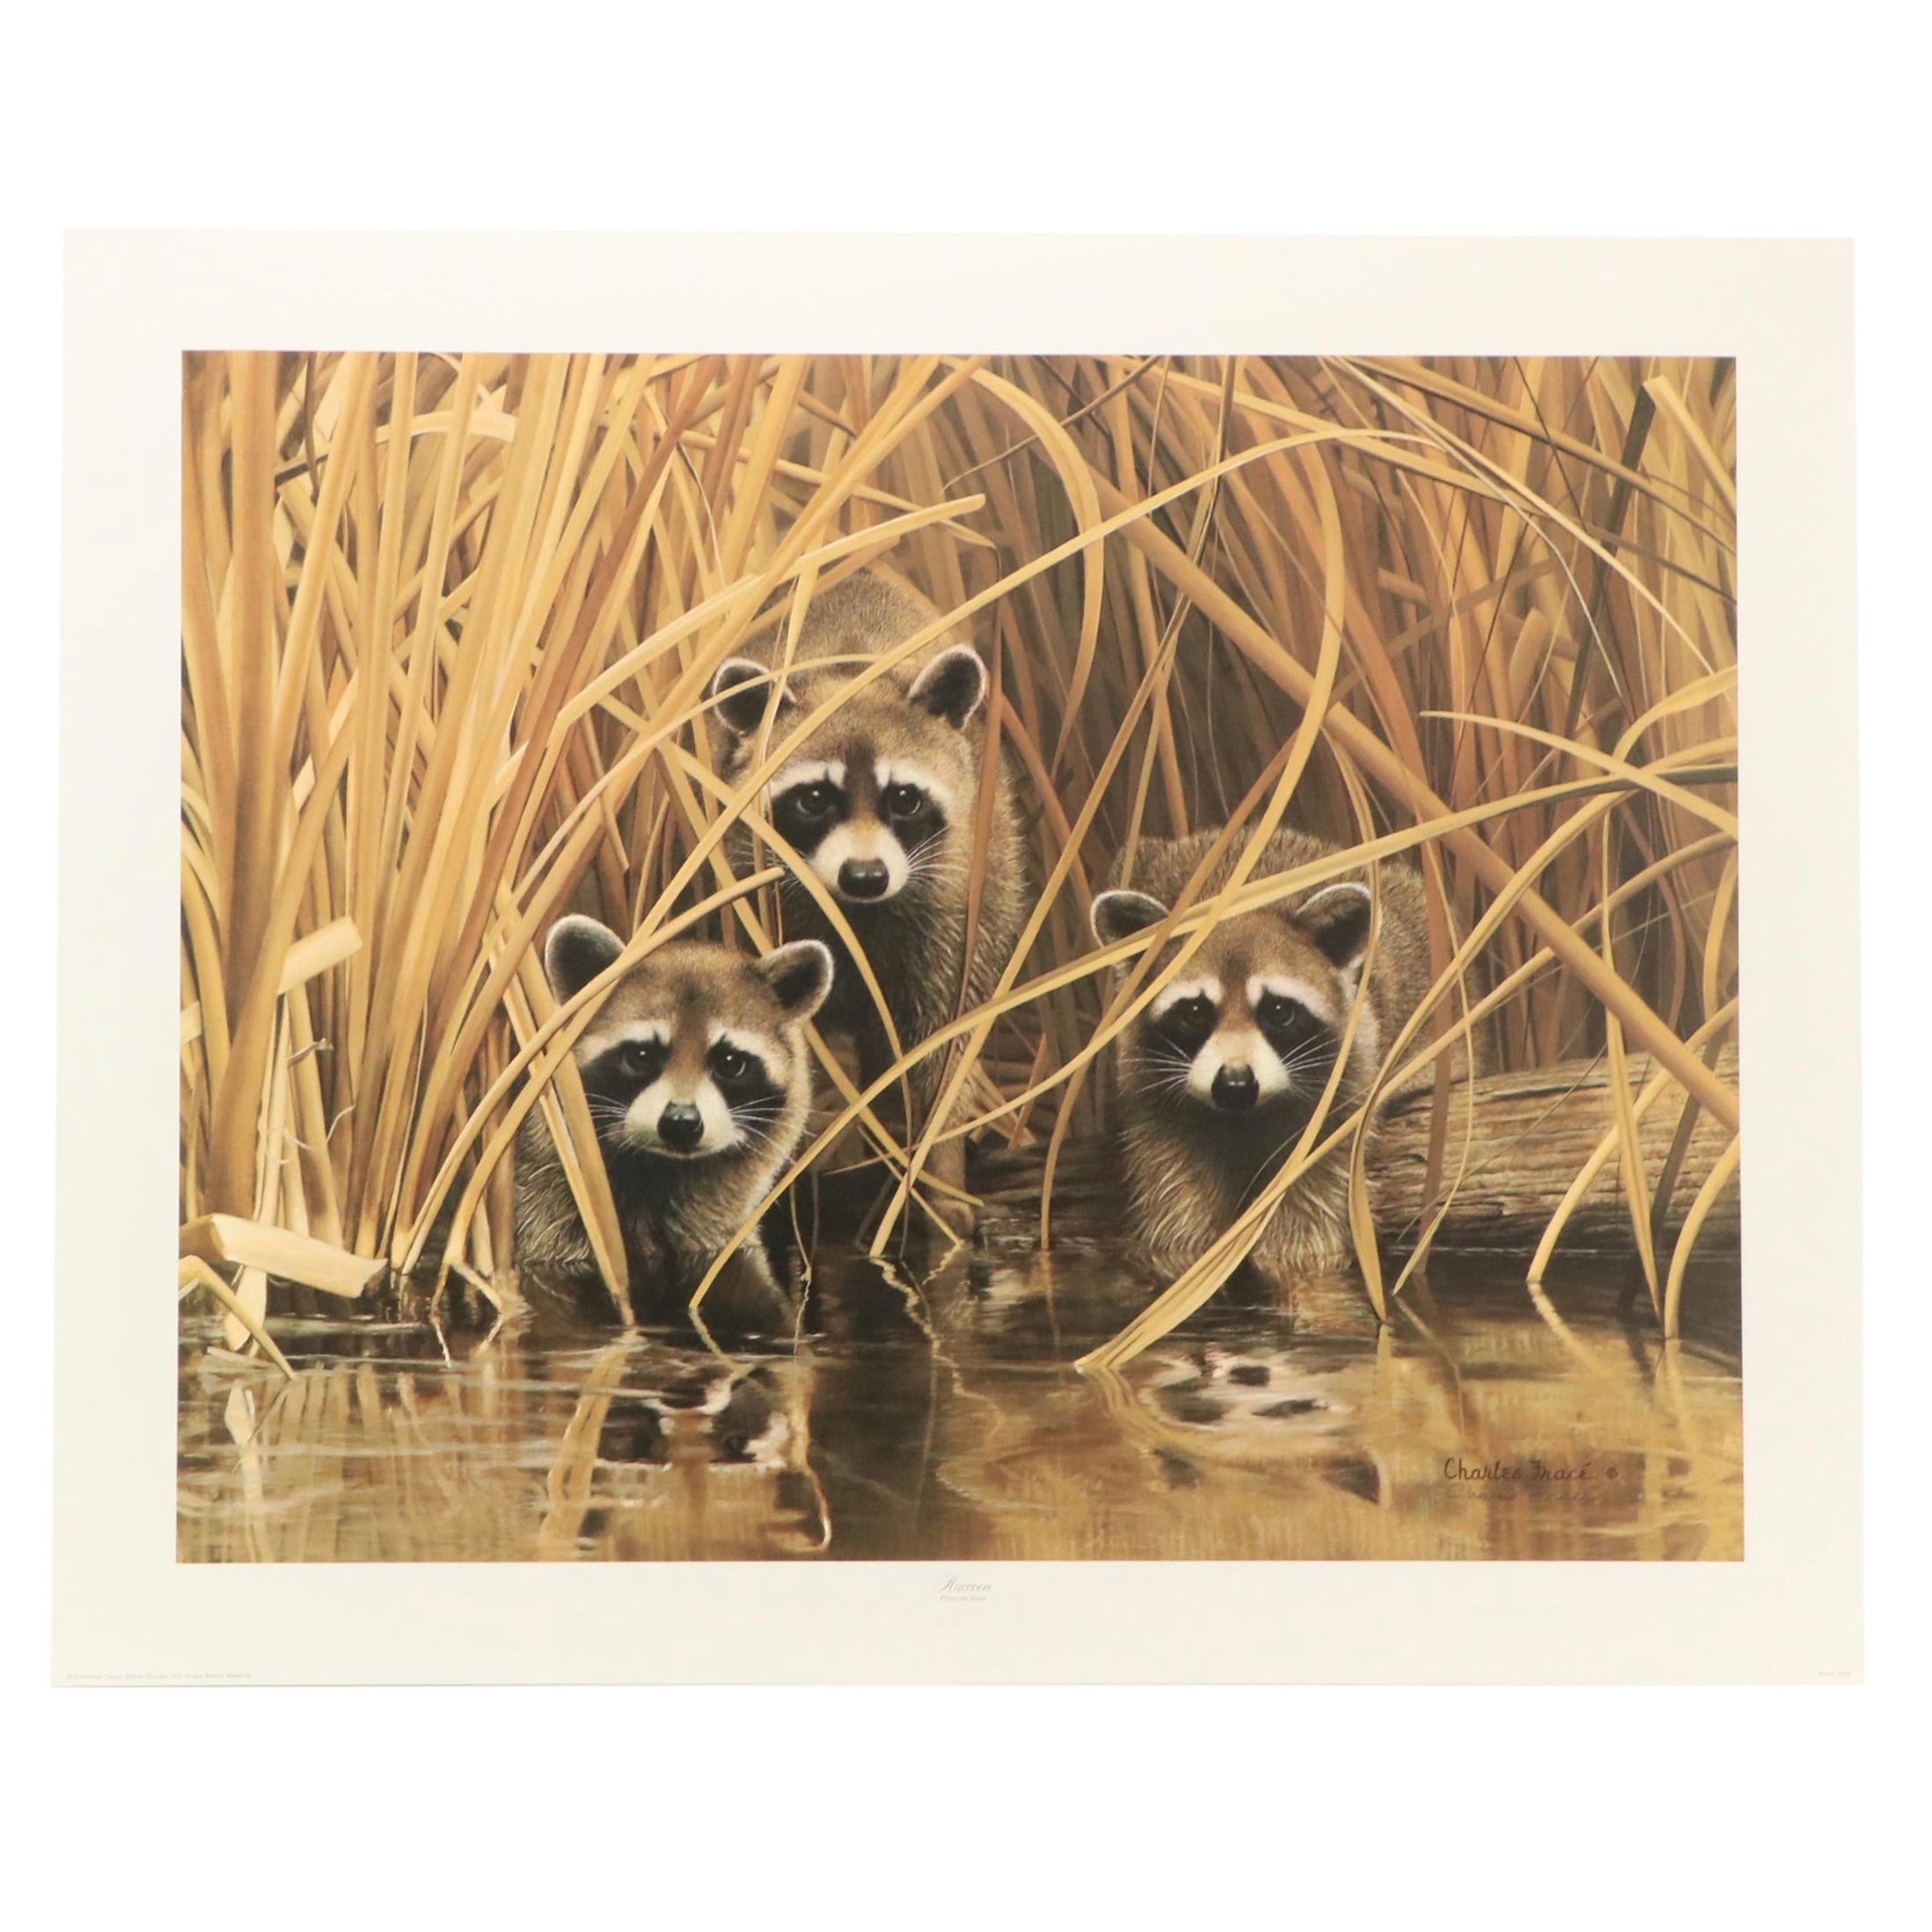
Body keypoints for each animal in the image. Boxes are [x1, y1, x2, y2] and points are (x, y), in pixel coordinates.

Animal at [704, 571, 1027, 1224]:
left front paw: (940, 1176)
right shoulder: (756, 889)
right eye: (813, 800)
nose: (864, 876)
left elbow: (939, 1048)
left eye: (903, 798)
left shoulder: (958, 900)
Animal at [1089, 826, 1433, 1279]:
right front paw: (1182, 1256)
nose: (1235, 1084)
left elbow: (1315, 1180)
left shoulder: (1347, 1075)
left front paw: (1293, 1258)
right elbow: (1175, 1189)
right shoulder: (1146, 1083)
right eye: (1195, 1012)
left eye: (1279, 1012)